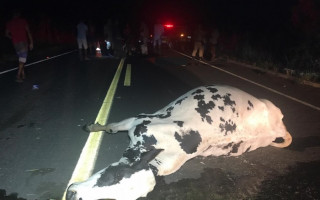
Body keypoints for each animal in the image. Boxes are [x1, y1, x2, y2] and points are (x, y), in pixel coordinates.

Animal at [67, 85, 292, 200]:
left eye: (112, 199)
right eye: (112, 176)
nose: (70, 195)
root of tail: (280, 127)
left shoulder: (139, 120)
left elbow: (111, 127)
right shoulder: (137, 121)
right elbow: (111, 126)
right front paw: (92, 127)